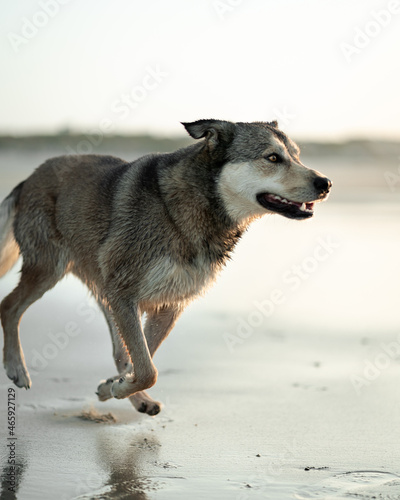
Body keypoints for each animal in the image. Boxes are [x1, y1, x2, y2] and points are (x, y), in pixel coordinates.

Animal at [0, 119, 332, 416]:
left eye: (297, 155)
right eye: (272, 158)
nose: (326, 184)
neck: (198, 203)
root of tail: (28, 179)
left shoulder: (168, 303)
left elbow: (143, 359)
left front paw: (114, 387)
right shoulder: (127, 295)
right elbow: (148, 368)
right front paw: (120, 387)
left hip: (103, 287)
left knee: (120, 351)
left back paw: (133, 397)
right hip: (50, 268)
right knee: (9, 306)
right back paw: (17, 368)